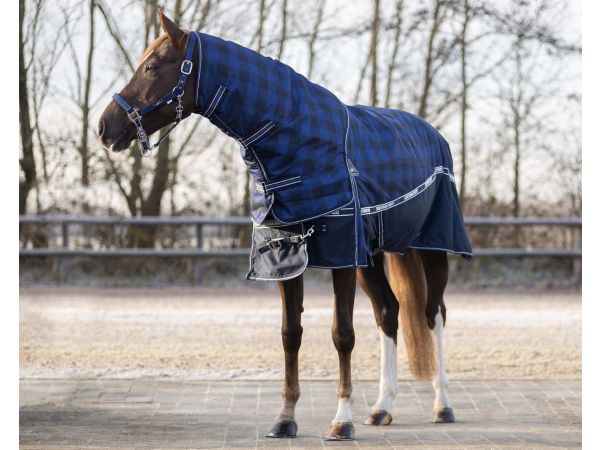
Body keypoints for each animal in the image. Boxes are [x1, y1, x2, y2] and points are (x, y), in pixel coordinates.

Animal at [99, 9, 474, 440]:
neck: (298, 146)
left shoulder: (342, 254)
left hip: (432, 248)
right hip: (374, 258)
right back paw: (382, 408)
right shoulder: (285, 257)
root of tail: (434, 134)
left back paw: (442, 405)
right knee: (389, 313)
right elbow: (290, 335)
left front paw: (341, 420)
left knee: (434, 312)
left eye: (153, 66)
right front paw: (285, 418)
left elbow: (342, 334)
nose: (104, 127)